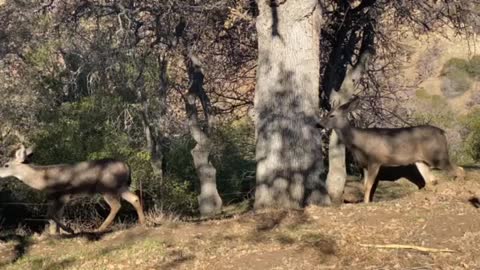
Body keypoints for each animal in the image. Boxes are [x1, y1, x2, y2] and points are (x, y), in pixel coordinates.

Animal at [0, 144, 145, 233]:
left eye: (6, 165)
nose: (0, 173)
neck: (44, 179)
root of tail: (126, 166)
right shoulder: (54, 197)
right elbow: (53, 216)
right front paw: (57, 234)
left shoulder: (63, 193)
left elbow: (50, 215)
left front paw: (69, 230)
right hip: (120, 186)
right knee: (134, 198)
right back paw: (143, 222)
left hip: (106, 186)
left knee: (116, 205)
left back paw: (99, 229)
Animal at [316, 97, 464, 202]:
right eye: (327, 113)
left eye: (332, 115)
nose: (318, 124)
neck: (358, 143)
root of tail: (442, 132)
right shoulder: (363, 165)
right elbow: (365, 186)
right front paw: (366, 202)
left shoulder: (375, 160)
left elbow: (369, 186)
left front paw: (366, 204)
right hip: (421, 160)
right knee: (432, 179)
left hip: (437, 155)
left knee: (458, 169)